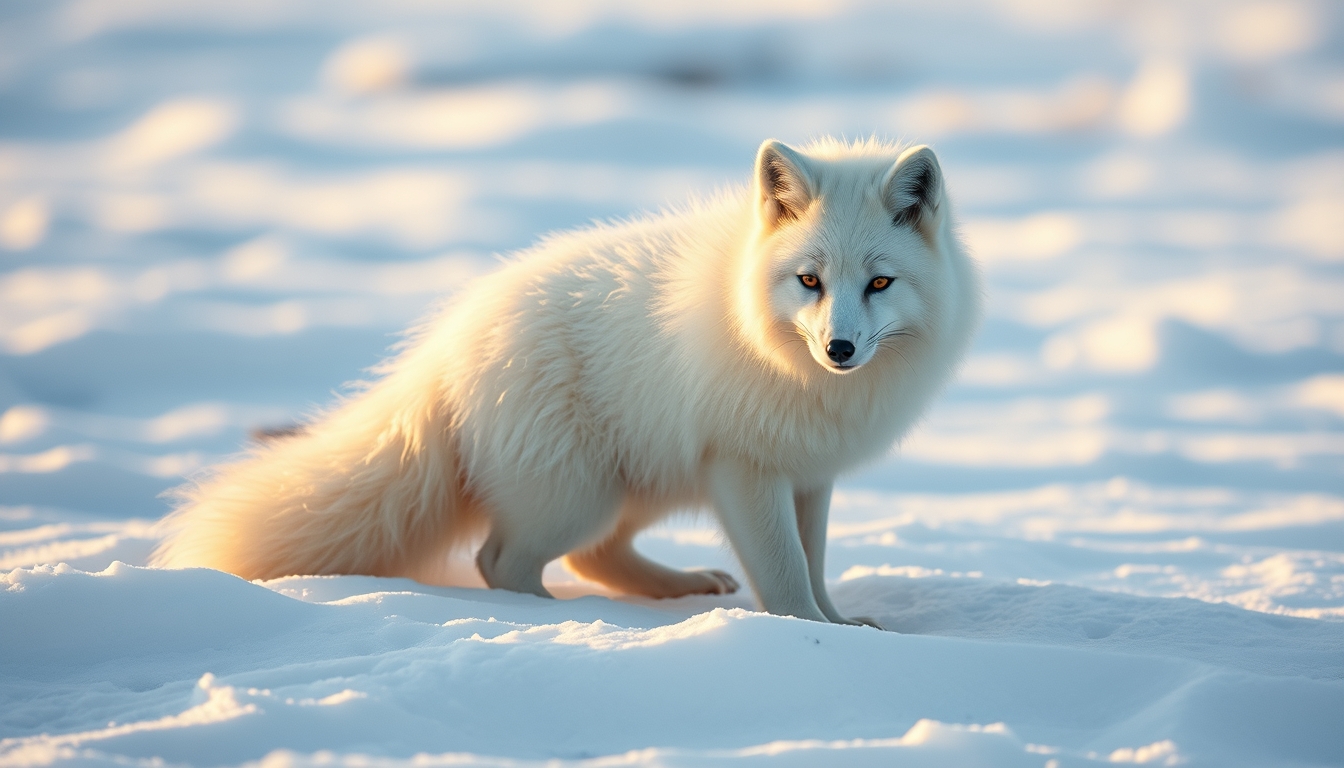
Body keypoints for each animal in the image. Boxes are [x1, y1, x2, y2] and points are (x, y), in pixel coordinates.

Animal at [152, 137, 981, 625]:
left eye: (880, 282)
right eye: (809, 280)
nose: (840, 348)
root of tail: (445, 347)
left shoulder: (808, 475)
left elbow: (812, 564)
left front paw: (841, 626)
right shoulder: (745, 470)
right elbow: (783, 575)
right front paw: (810, 636)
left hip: (634, 484)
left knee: (593, 556)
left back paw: (676, 587)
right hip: (578, 493)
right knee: (502, 561)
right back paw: (557, 623)